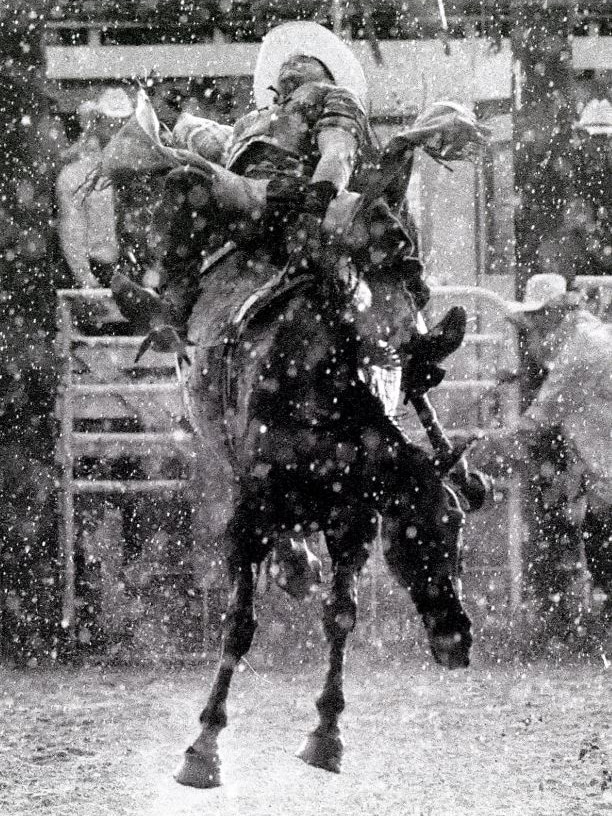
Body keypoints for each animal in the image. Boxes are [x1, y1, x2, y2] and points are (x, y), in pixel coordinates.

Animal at [170, 244, 470, 792]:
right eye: (412, 539)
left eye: (456, 529)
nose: (457, 639)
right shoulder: (249, 517)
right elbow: (239, 624)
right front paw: (204, 747)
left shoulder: (353, 521)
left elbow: (341, 616)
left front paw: (327, 735)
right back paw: (293, 564)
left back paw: (298, 566)